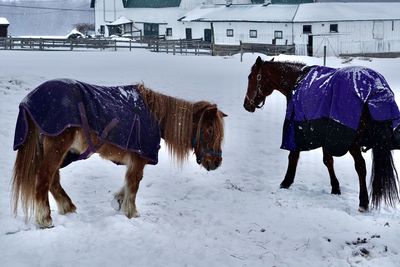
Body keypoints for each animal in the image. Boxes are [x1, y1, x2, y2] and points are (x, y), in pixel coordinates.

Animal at [11, 83, 225, 228]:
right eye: (209, 131)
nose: (216, 162)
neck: (155, 116)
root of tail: (28, 101)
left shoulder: (133, 161)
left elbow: (128, 183)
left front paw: (118, 201)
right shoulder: (138, 160)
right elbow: (134, 183)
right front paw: (131, 212)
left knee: (53, 180)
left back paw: (67, 207)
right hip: (56, 149)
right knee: (44, 179)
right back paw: (45, 219)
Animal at [242, 57, 398, 213]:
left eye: (251, 77)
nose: (246, 105)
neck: (296, 81)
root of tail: (374, 88)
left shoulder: (297, 128)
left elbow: (294, 156)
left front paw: (285, 182)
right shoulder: (324, 133)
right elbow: (328, 161)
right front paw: (335, 188)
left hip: (352, 142)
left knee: (360, 167)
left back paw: (363, 203)